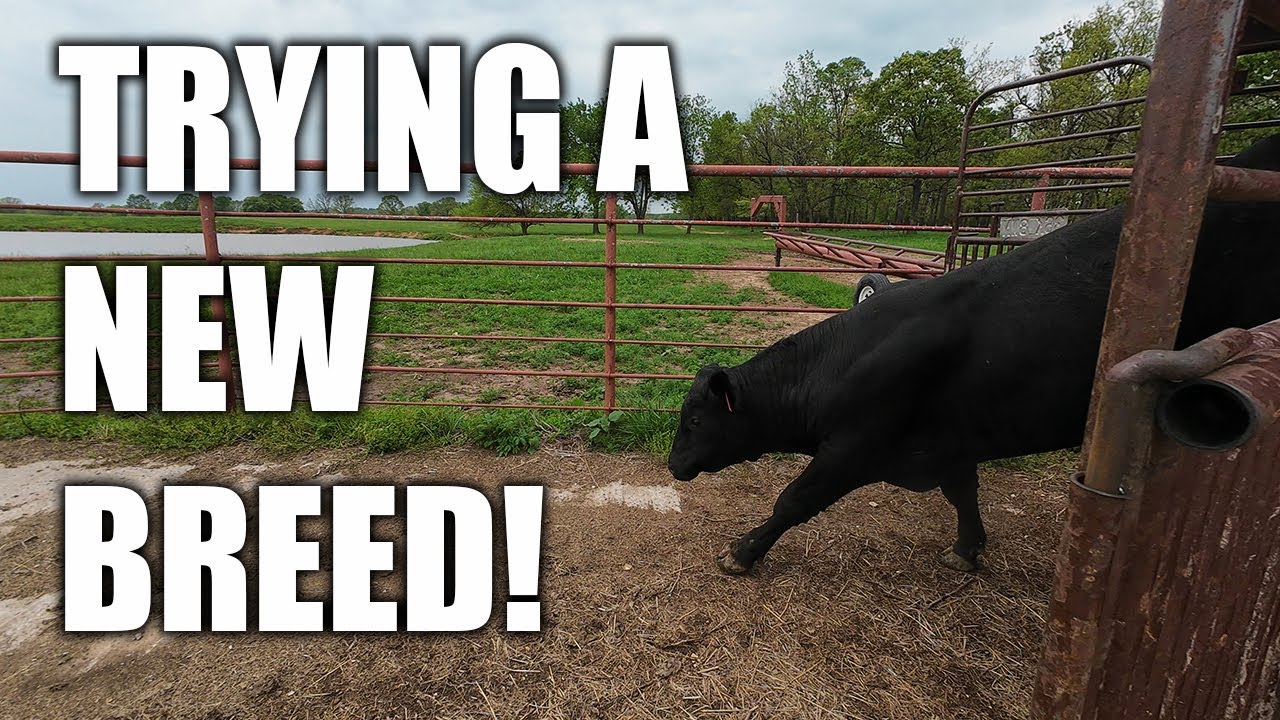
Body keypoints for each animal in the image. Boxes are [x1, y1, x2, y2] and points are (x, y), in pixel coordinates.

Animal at [667, 134, 1280, 576]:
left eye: (695, 419)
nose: (673, 464)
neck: (844, 361)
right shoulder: (951, 442)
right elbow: (963, 496)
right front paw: (967, 549)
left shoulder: (853, 446)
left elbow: (794, 499)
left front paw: (742, 552)